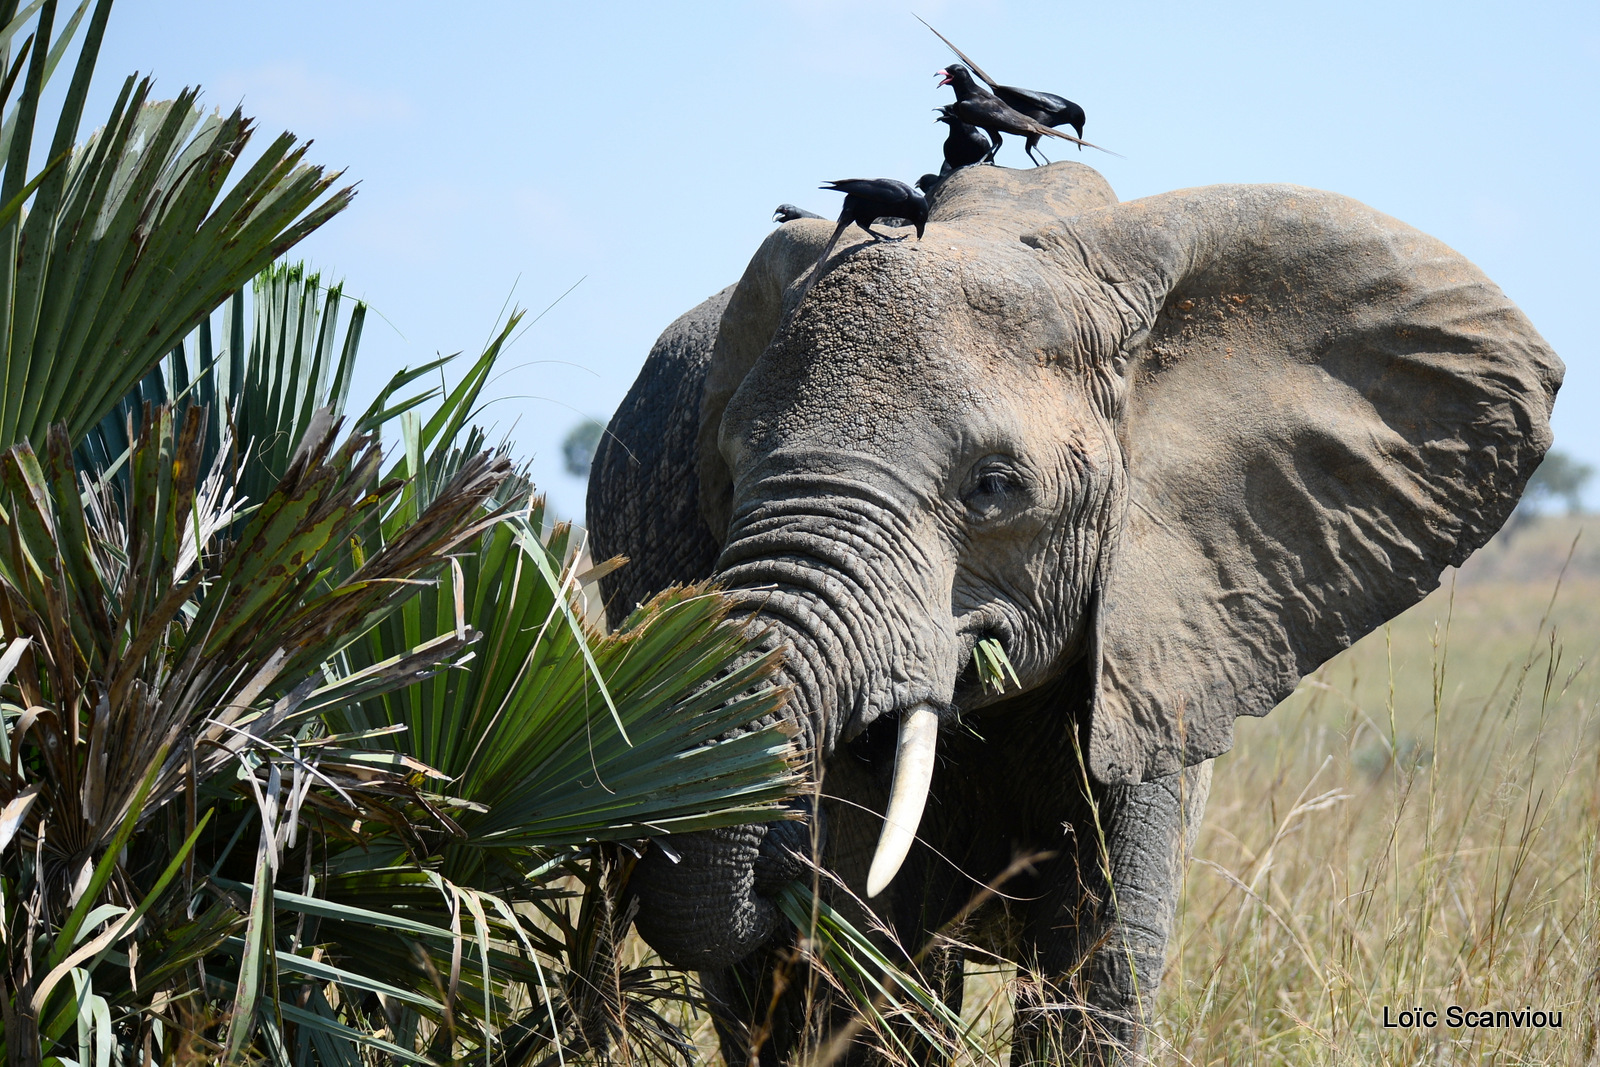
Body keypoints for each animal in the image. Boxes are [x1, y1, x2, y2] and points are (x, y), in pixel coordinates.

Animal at [585, 160, 1548, 1067]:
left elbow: (1103, 955)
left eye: (993, 485)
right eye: (728, 466)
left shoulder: (1164, 636)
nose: (783, 843)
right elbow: (875, 954)